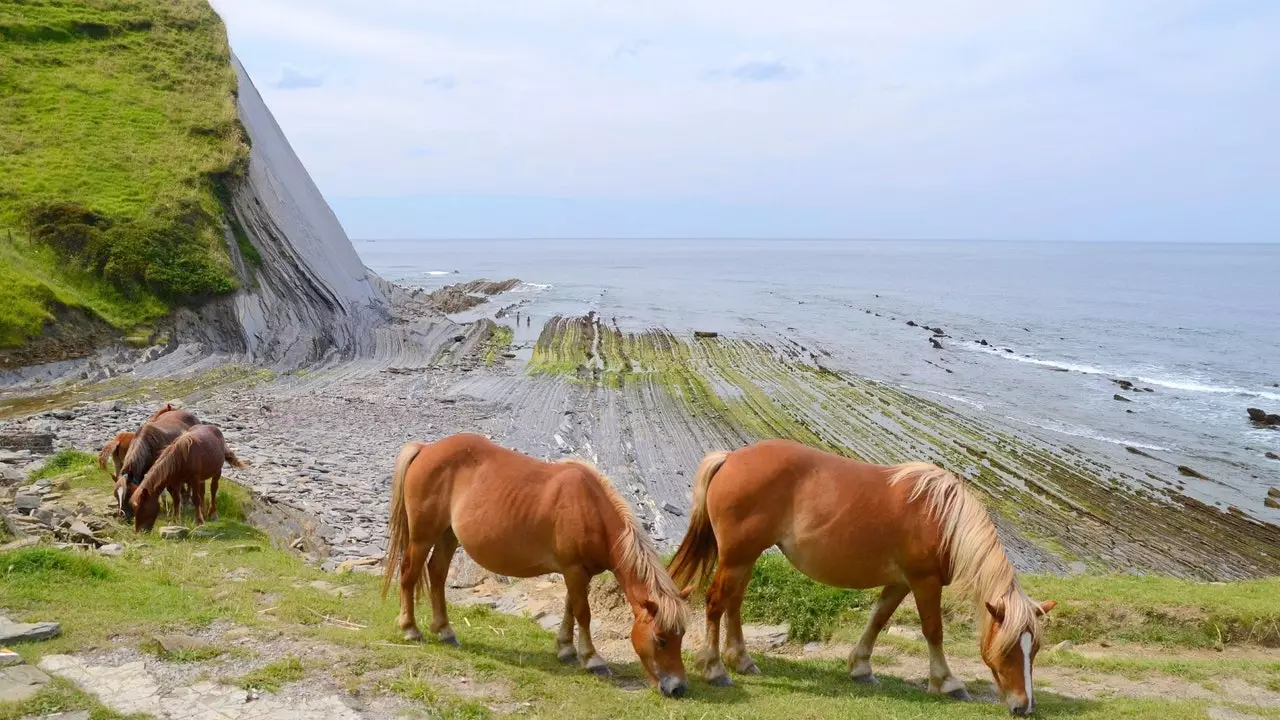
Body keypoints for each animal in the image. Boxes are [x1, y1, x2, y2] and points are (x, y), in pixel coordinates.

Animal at [378, 430, 691, 696]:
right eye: (661, 639)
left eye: (682, 636)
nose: (678, 688)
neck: (590, 507)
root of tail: (426, 448)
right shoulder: (574, 570)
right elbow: (583, 613)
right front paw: (592, 659)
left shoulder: (579, 573)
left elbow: (570, 608)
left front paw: (566, 649)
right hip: (422, 537)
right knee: (409, 574)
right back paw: (410, 629)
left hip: (448, 536)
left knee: (438, 574)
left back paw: (445, 631)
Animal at [665, 438, 1054, 712]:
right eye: (1007, 650)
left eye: (1033, 649)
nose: (1024, 707)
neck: (941, 517)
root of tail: (731, 458)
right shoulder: (924, 581)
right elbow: (933, 630)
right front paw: (947, 682)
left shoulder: (899, 582)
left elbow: (877, 620)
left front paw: (861, 668)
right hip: (737, 558)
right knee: (716, 603)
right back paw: (716, 668)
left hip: (745, 558)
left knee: (734, 602)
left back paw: (742, 660)